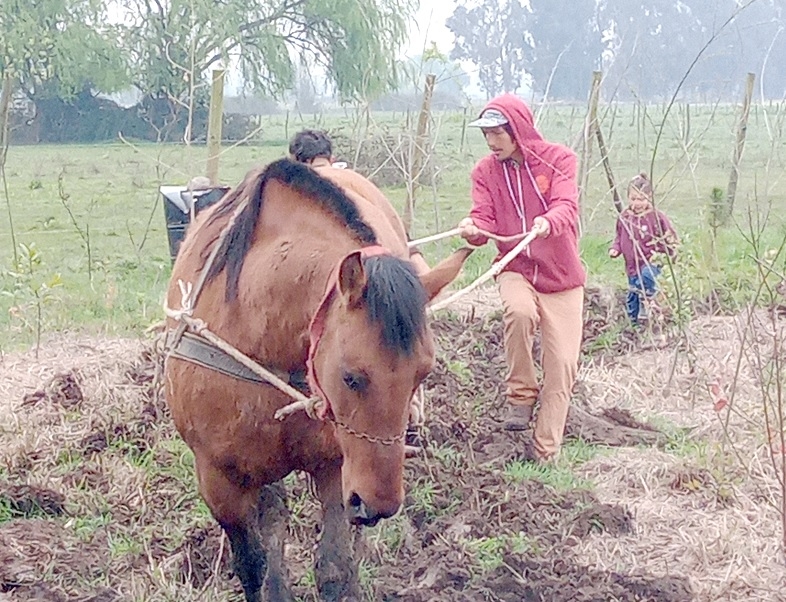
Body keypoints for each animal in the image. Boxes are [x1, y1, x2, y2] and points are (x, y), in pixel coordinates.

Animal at [165, 159, 468, 600]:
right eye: (351, 376)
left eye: (423, 372)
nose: (379, 504)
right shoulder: (219, 481)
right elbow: (252, 564)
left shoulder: (336, 467)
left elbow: (334, 567)